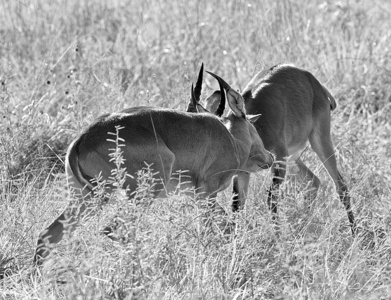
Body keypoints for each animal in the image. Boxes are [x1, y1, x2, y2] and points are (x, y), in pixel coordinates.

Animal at [34, 71, 276, 264]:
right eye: (252, 123)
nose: (270, 157)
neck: (231, 140)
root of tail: (82, 140)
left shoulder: (197, 195)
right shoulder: (206, 193)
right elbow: (216, 227)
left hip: (88, 198)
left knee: (48, 235)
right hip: (138, 193)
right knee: (113, 229)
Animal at [191, 63, 356, 234]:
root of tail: (315, 82)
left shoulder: (279, 158)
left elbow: (271, 198)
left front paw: (277, 237)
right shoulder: (242, 172)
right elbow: (237, 205)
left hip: (320, 141)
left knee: (341, 186)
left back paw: (355, 232)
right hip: (293, 157)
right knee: (313, 181)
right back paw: (303, 228)